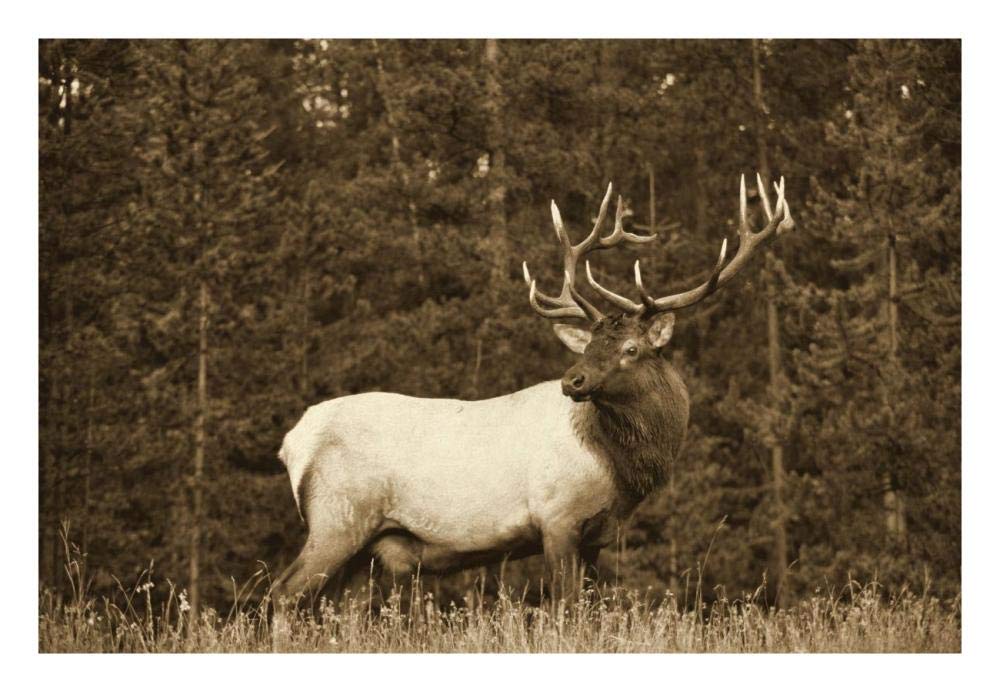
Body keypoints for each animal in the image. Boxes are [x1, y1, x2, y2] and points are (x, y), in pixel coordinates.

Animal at [271, 173, 793, 611]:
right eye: (592, 345)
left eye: (630, 348)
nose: (572, 381)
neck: (617, 469)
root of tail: (293, 442)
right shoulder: (557, 516)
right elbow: (566, 607)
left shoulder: (596, 536)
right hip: (337, 516)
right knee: (284, 592)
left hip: (363, 544)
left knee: (338, 607)